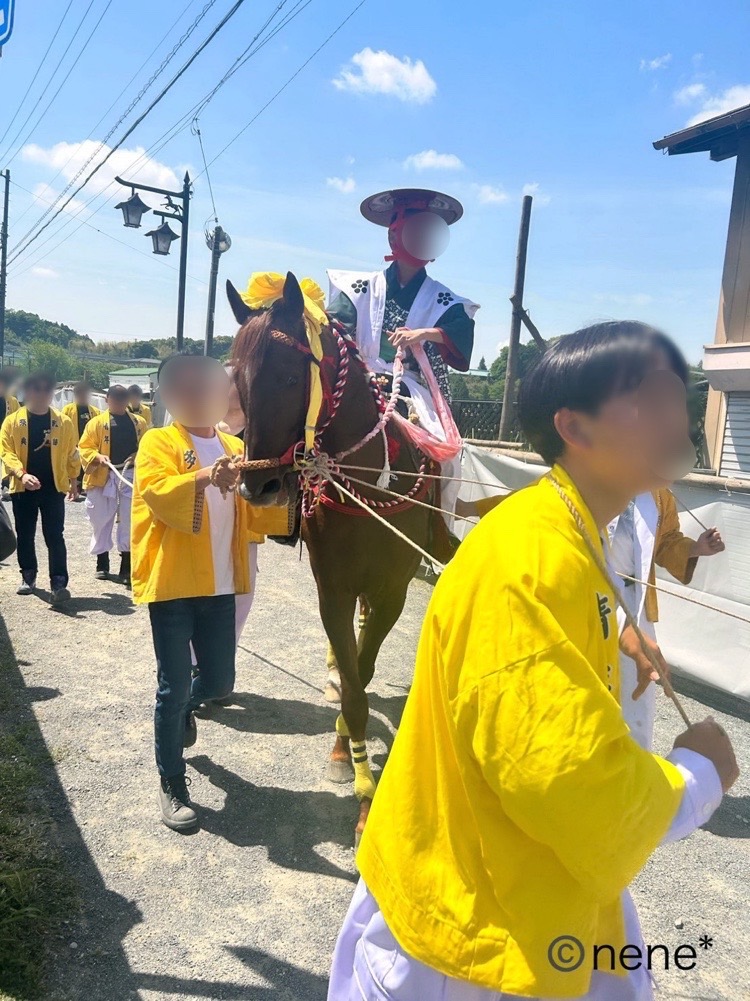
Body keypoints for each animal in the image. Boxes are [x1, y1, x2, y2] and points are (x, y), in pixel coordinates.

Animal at [225, 270, 442, 840]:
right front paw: (352, 766)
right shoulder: (334, 591)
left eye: (286, 376)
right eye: (238, 383)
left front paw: (364, 790)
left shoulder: (390, 593)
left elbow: (362, 675)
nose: (257, 485)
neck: (366, 481)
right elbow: (352, 686)